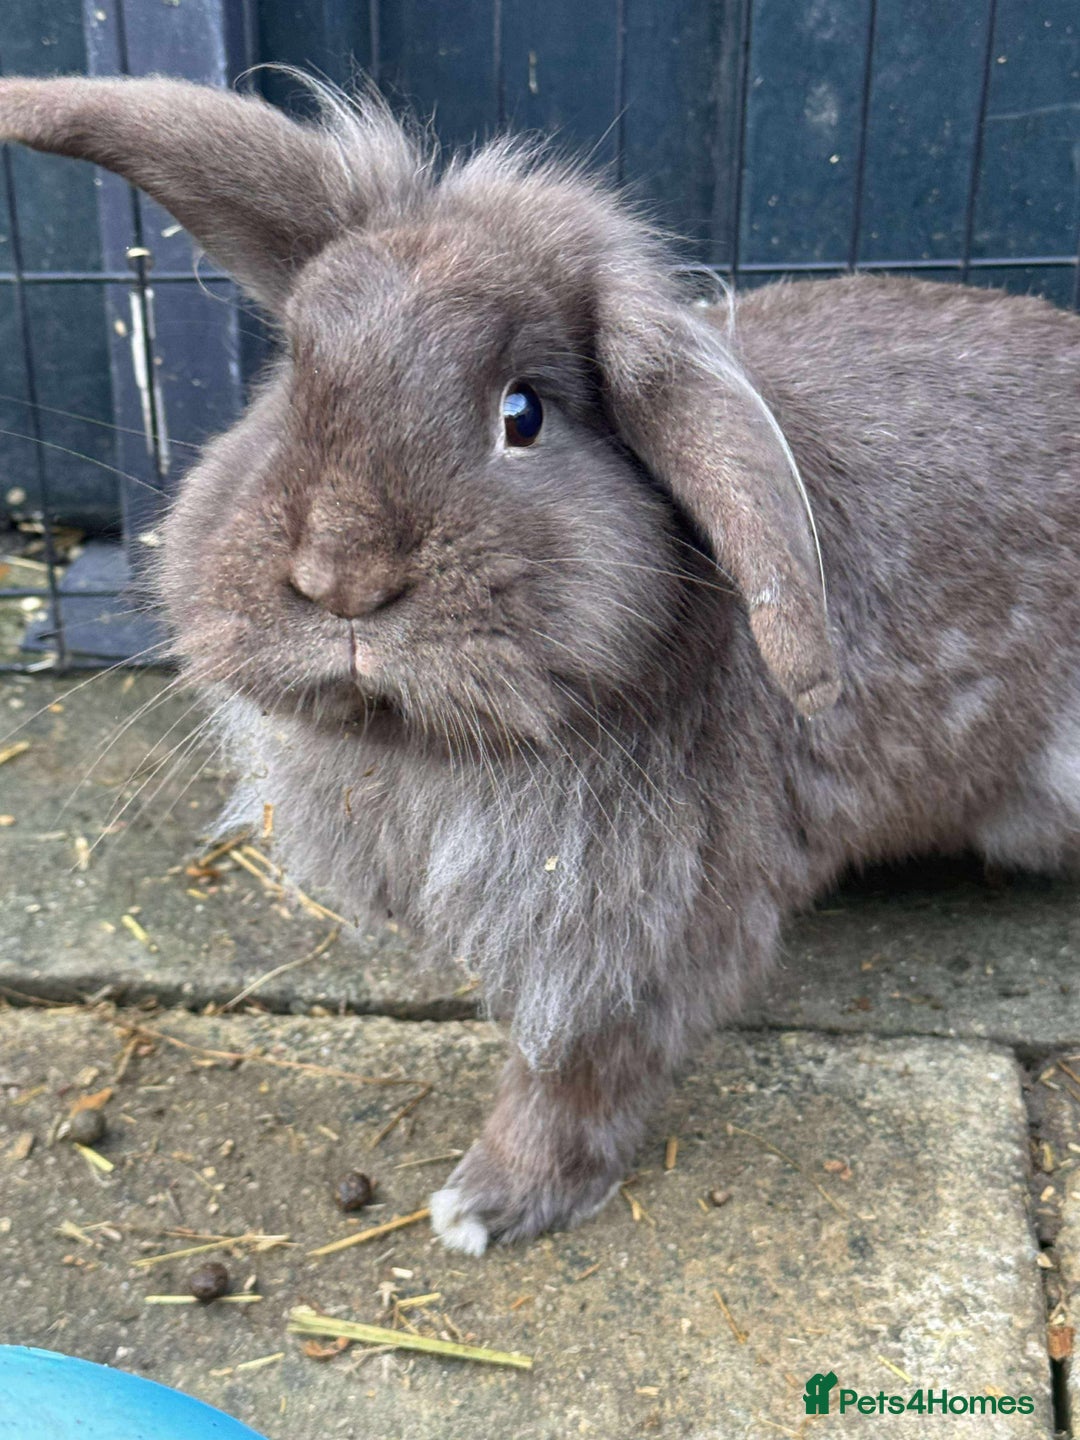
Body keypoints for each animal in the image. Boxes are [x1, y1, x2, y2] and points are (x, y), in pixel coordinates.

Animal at [2, 73, 1078, 1255]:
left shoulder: (632, 935)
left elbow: (574, 1072)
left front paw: (490, 1205)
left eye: (525, 414)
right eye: (290, 372)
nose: (342, 577)